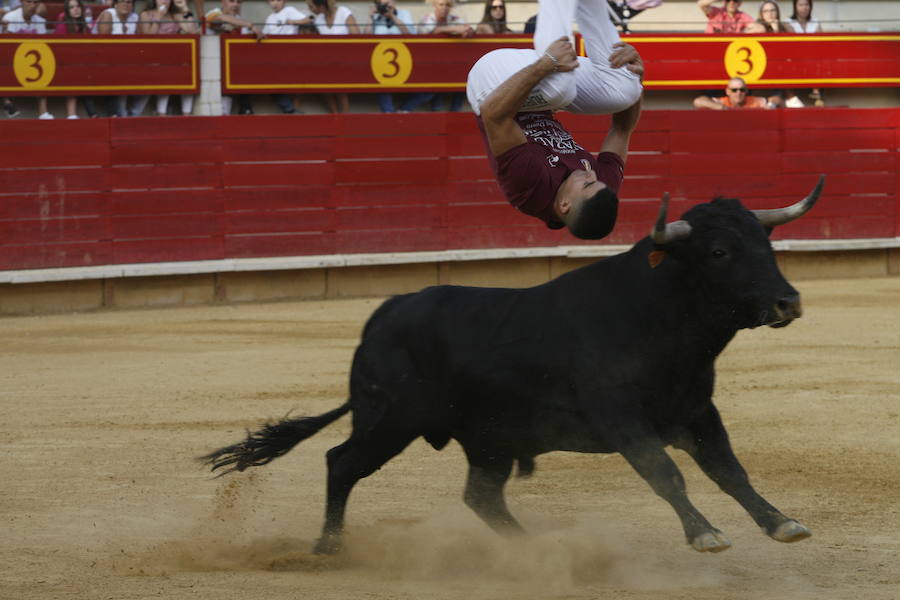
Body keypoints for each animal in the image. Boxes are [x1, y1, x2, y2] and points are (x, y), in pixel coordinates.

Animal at [202, 176, 824, 556]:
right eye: (718, 252)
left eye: (767, 246)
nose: (787, 302)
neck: (659, 318)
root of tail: (385, 315)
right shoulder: (622, 419)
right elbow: (665, 473)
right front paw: (705, 535)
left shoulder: (696, 411)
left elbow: (730, 471)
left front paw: (781, 523)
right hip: (389, 421)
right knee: (341, 463)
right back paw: (328, 547)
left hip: (489, 440)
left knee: (481, 496)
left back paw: (530, 546)